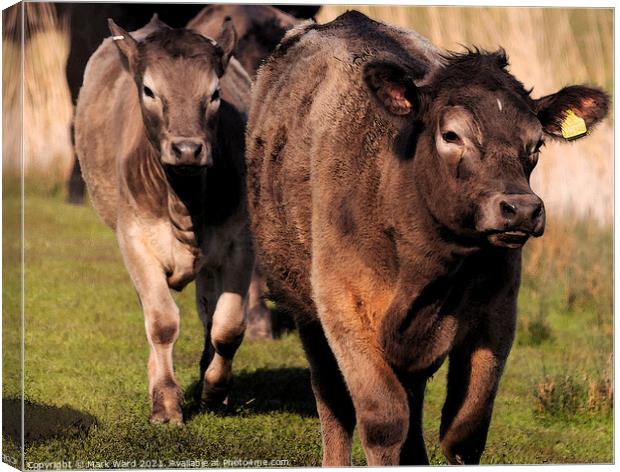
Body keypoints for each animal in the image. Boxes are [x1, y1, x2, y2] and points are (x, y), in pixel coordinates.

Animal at [75, 16, 254, 426]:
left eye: (215, 93)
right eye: (148, 90)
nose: (187, 149)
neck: (184, 200)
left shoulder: (240, 241)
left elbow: (228, 326)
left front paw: (214, 389)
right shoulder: (134, 240)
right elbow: (161, 323)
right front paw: (166, 402)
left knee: (208, 311)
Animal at [245, 11, 608, 464]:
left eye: (536, 143)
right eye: (451, 135)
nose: (522, 209)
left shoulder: (498, 313)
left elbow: (464, 430)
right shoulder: (343, 304)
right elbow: (383, 420)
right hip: (304, 305)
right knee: (332, 397)